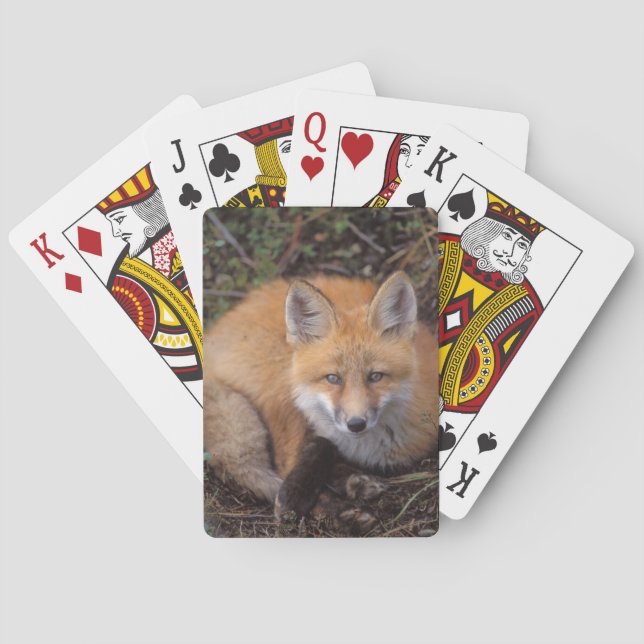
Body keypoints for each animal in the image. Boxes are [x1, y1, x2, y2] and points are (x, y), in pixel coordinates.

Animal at [204, 271, 438, 523]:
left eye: (375, 376)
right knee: (282, 465)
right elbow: (312, 454)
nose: (356, 424)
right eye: (333, 378)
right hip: (282, 389)